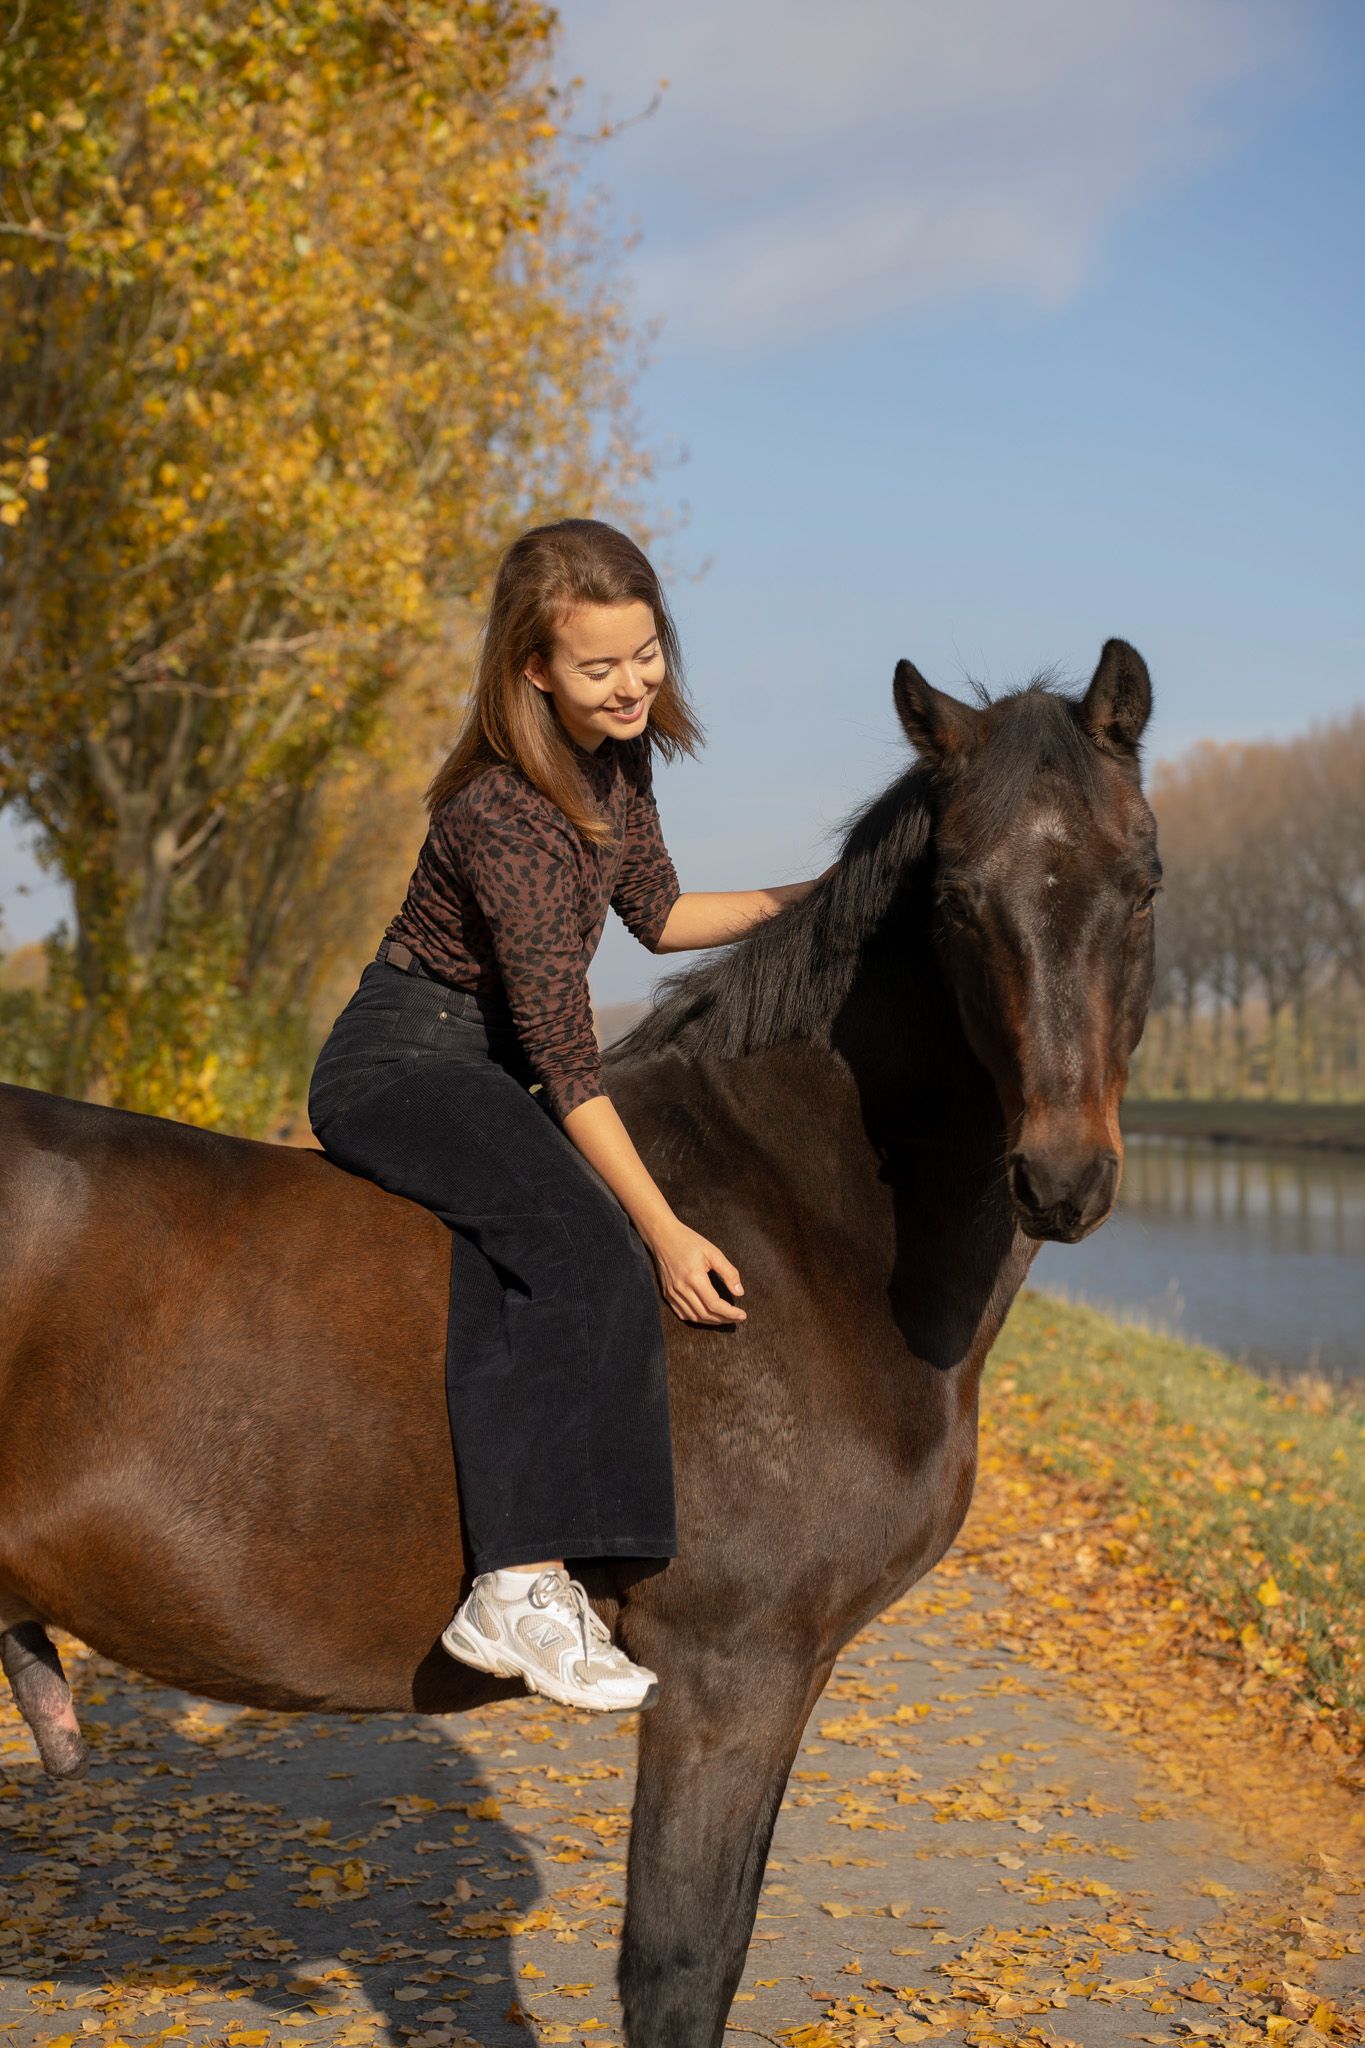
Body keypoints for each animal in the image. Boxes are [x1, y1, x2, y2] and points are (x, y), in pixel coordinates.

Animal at [0, 641, 1158, 2048]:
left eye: (1142, 879)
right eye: (956, 898)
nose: (1062, 1175)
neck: (794, 1224)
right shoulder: (729, 1676)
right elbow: (681, 1964)